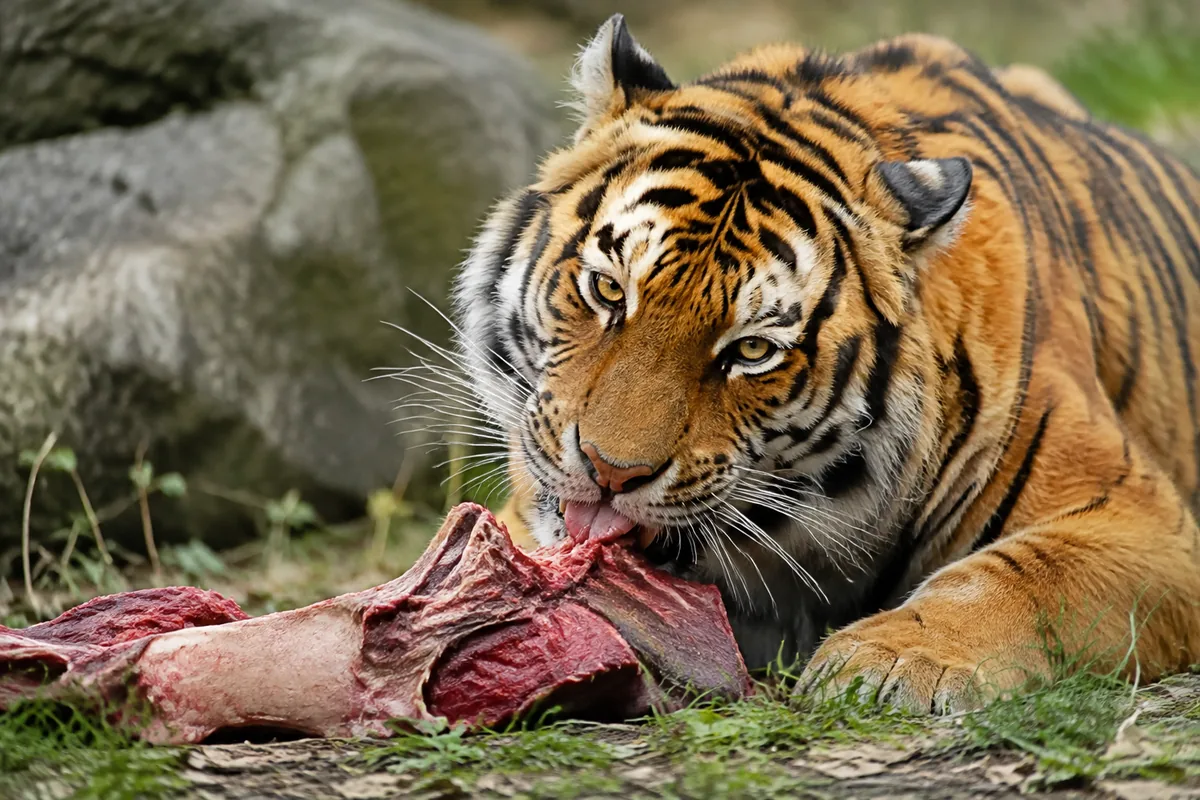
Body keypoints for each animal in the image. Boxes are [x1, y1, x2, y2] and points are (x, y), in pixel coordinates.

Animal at [451, 13, 1200, 713]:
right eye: (609, 291)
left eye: (752, 350)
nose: (610, 474)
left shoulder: (1142, 522)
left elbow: (1019, 577)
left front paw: (892, 660)